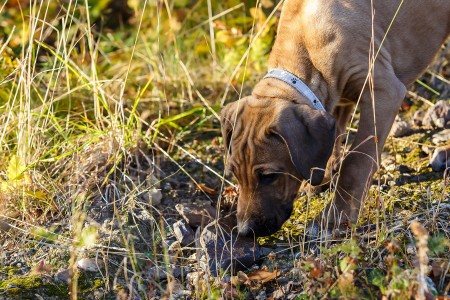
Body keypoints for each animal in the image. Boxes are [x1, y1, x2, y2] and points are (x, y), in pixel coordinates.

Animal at [221, 0, 450, 237]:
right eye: (234, 173)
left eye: (269, 176)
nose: (245, 231)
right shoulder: (336, 98)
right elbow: (335, 137)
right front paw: (322, 177)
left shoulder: (383, 92)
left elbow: (355, 162)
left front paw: (335, 217)